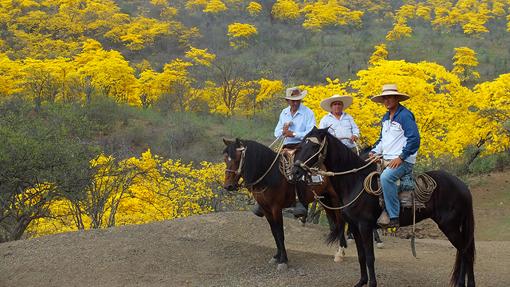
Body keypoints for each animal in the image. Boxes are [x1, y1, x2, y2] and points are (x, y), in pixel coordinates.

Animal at [292, 129, 476, 287]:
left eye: (314, 146)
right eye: (300, 145)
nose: (295, 170)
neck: (355, 182)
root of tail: (463, 186)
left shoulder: (365, 226)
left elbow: (370, 257)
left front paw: (372, 283)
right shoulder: (354, 227)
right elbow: (361, 256)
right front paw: (361, 282)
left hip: (450, 226)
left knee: (465, 252)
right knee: (464, 252)